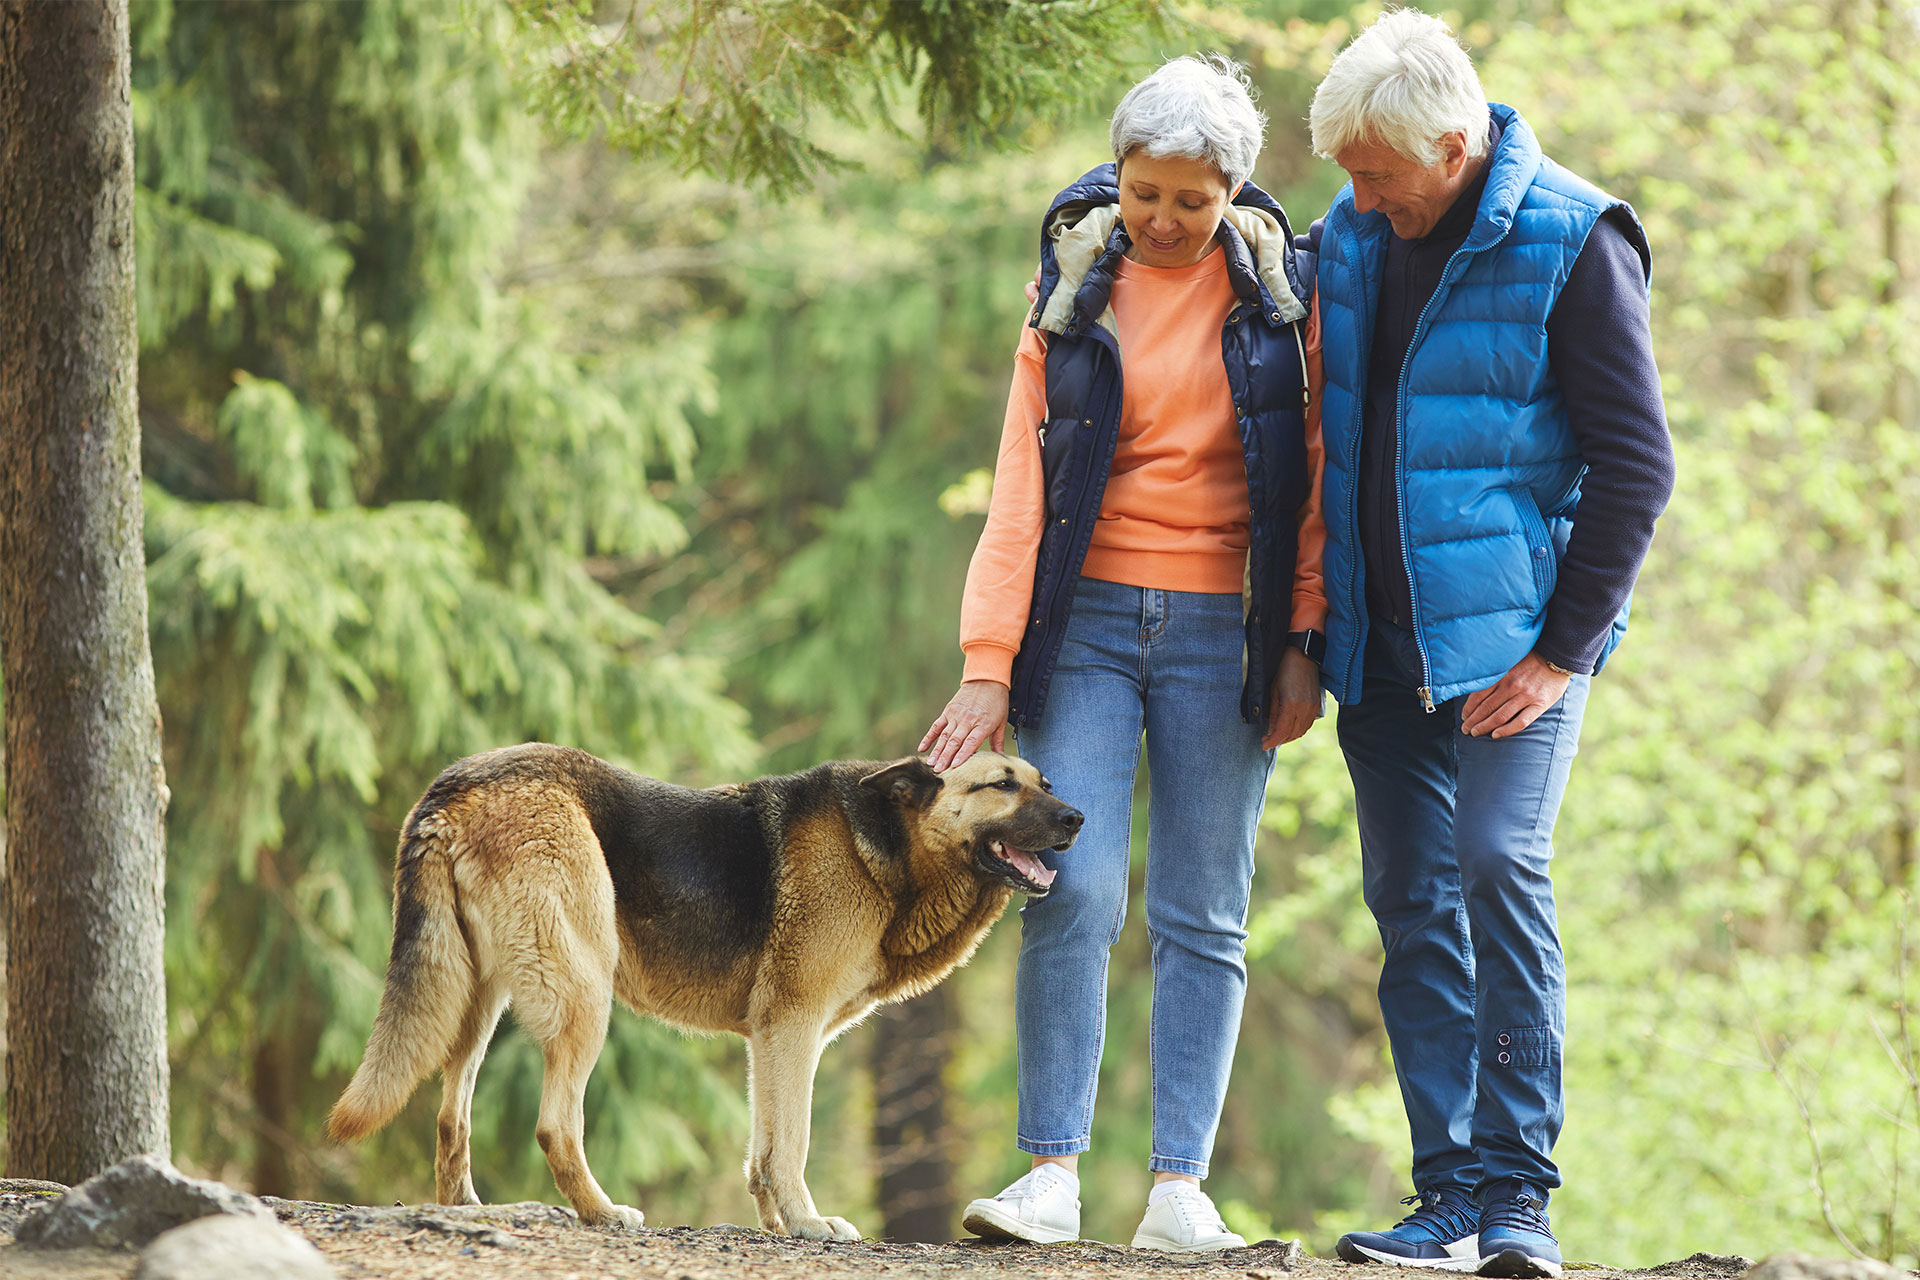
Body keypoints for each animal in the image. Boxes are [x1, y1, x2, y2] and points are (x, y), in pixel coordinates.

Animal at [330, 740, 1082, 1243]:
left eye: (1043, 782)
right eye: (1000, 785)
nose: (1077, 818)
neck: (891, 844)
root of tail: (453, 786)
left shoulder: (771, 1039)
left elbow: (763, 1147)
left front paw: (778, 1224)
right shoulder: (794, 1028)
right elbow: (792, 1143)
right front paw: (808, 1223)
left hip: (478, 999)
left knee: (450, 1117)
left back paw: (468, 1211)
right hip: (582, 992)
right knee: (555, 1125)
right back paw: (601, 1212)